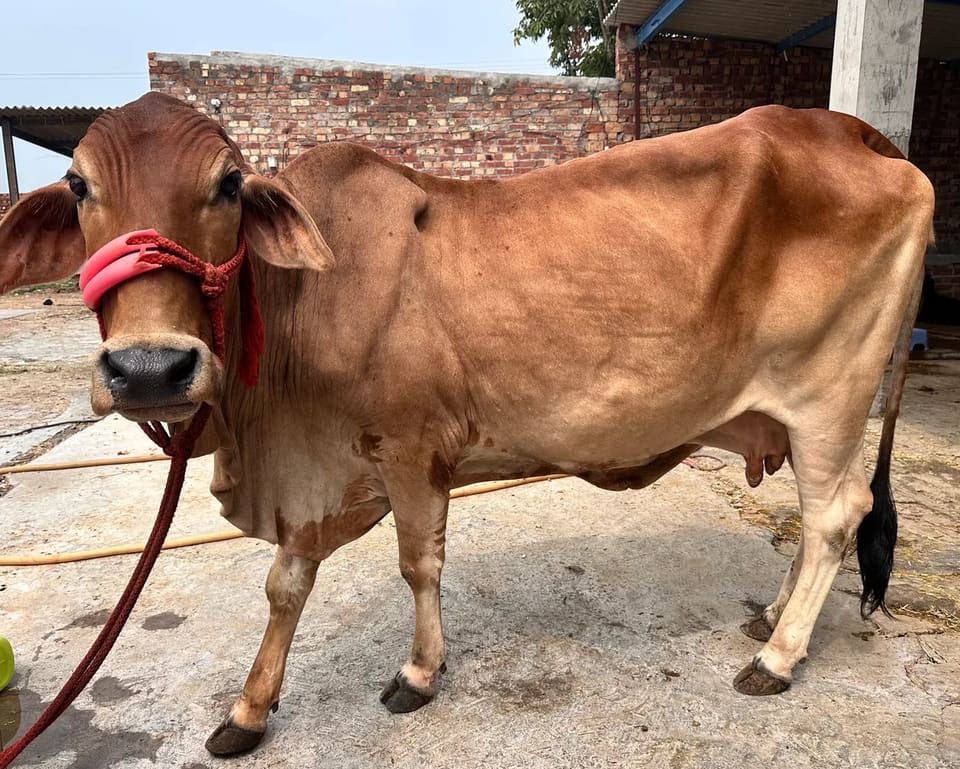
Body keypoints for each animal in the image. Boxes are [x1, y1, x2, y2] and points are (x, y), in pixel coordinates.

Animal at [0, 92, 934, 756]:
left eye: (228, 184)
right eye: (79, 186)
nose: (149, 368)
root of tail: (859, 135)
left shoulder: (412, 447)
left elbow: (419, 563)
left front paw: (418, 672)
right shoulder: (316, 471)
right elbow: (285, 583)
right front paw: (250, 707)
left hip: (829, 398)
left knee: (833, 516)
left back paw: (776, 658)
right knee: (817, 524)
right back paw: (772, 621)